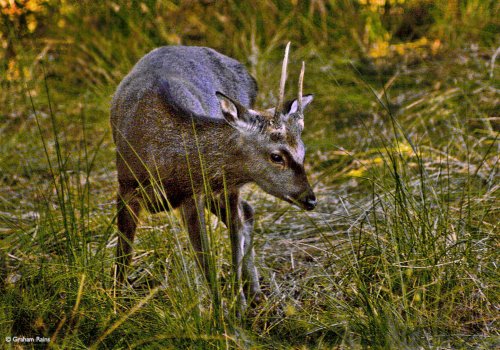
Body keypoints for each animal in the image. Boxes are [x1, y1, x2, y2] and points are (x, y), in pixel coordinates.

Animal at [110, 41, 316, 308]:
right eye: (277, 156)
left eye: (302, 151)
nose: (310, 198)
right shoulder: (126, 186)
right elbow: (122, 255)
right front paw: (114, 303)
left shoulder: (193, 196)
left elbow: (206, 260)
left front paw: (227, 311)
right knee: (245, 214)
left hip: (223, 188)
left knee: (241, 219)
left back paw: (251, 294)